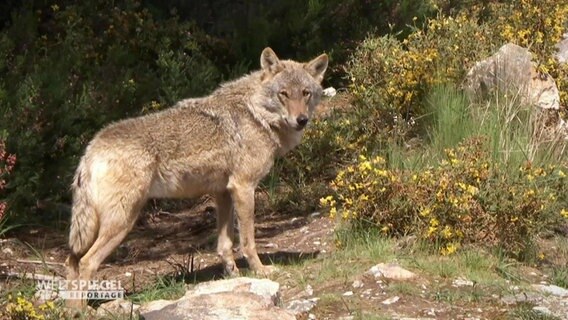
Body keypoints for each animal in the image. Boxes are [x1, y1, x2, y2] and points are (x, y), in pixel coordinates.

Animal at [65, 47, 328, 308]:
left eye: (305, 93)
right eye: (284, 94)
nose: (301, 120)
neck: (257, 114)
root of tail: (90, 150)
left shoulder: (223, 192)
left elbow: (225, 245)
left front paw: (233, 276)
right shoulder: (244, 187)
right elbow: (248, 241)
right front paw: (260, 271)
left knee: (72, 262)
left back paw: (73, 311)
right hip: (122, 222)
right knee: (86, 262)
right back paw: (85, 311)